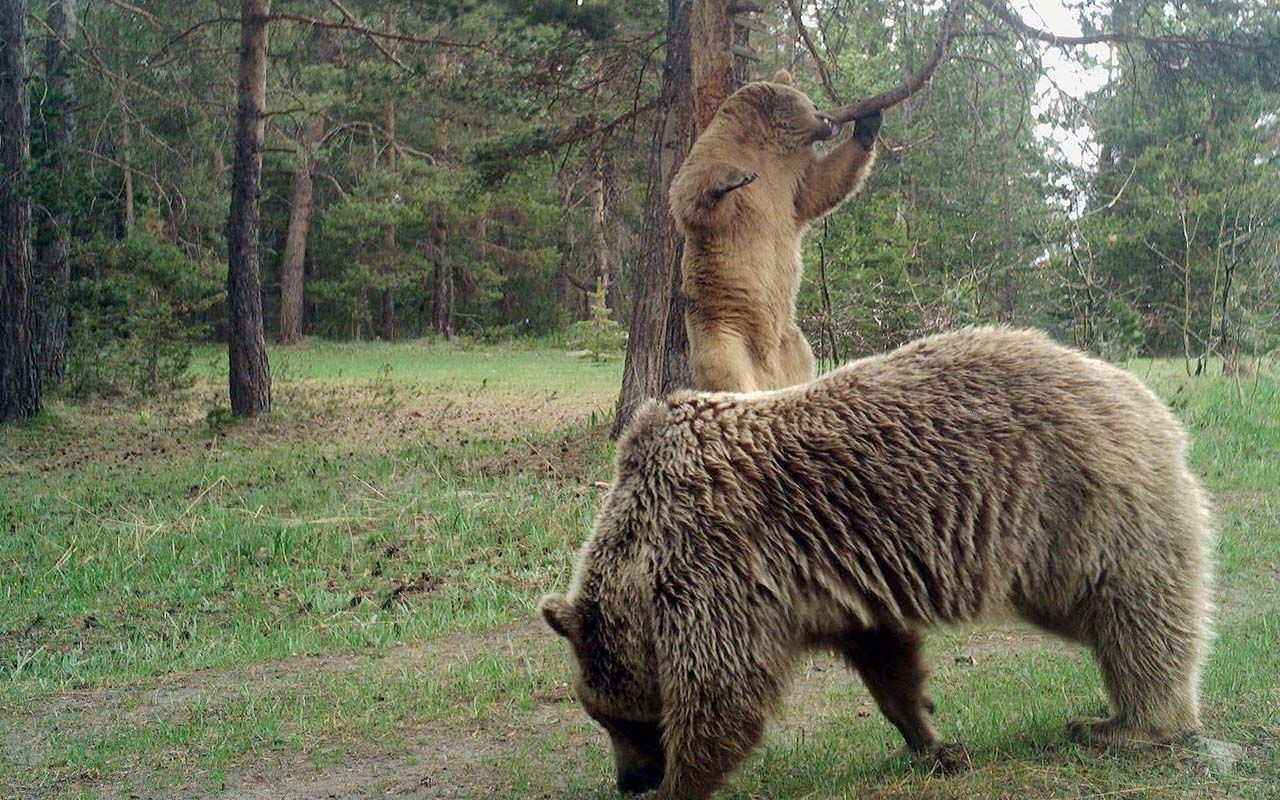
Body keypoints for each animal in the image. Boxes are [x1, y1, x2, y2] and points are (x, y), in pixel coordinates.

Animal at [535, 327, 1213, 793]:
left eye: (612, 717)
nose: (631, 782)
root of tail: (1140, 393)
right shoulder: (832, 590)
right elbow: (888, 663)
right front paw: (932, 739)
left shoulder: (717, 564)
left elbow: (724, 691)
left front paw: (683, 783)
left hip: (1078, 503)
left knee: (1138, 614)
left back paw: (1130, 725)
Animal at [670, 70, 880, 391]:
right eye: (811, 102)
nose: (828, 117)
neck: (766, 145)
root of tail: (768, 374)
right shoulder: (717, 155)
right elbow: (688, 195)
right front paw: (733, 178)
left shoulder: (789, 180)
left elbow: (819, 187)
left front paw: (869, 124)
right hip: (723, 329)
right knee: (726, 371)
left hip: (794, 345)